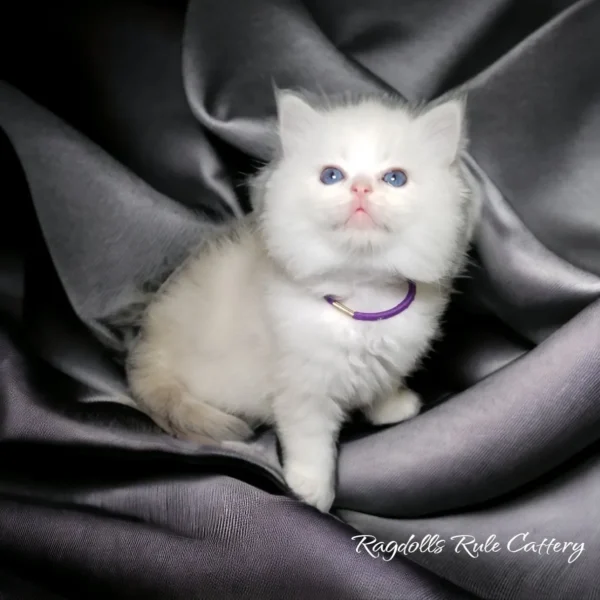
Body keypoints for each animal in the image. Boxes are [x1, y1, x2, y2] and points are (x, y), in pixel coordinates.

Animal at [126, 89, 478, 510]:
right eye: (332, 176)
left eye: (395, 178)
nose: (361, 188)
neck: (362, 292)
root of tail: (150, 350)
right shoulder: (303, 389)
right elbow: (312, 445)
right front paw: (312, 492)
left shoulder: (390, 355)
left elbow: (383, 382)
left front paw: (392, 408)